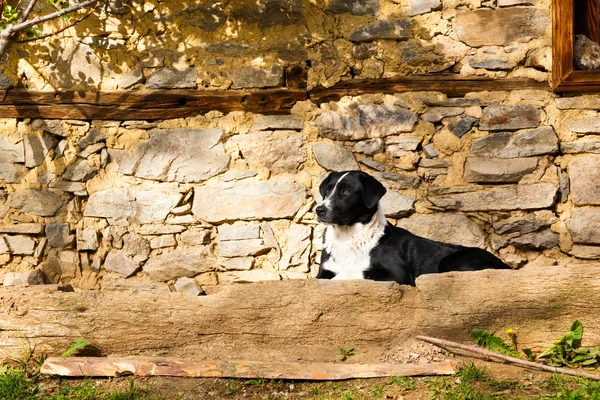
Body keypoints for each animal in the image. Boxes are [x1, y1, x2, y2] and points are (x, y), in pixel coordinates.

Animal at [314, 170, 510, 286]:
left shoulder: (397, 275)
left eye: (346, 191)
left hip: (452, 261)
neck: (348, 237)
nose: (319, 210)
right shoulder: (324, 271)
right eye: (328, 190)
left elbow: (350, 273)